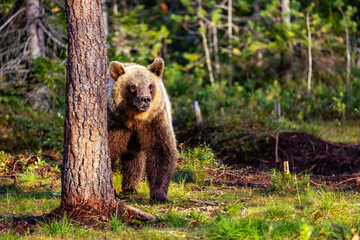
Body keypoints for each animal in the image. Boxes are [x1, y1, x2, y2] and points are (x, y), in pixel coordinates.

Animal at [107, 58, 177, 202]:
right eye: (132, 86)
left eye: (150, 86)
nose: (145, 99)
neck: (135, 120)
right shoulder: (114, 123)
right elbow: (109, 151)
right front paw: (113, 192)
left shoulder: (155, 121)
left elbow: (161, 151)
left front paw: (159, 195)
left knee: (134, 160)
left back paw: (130, 187)